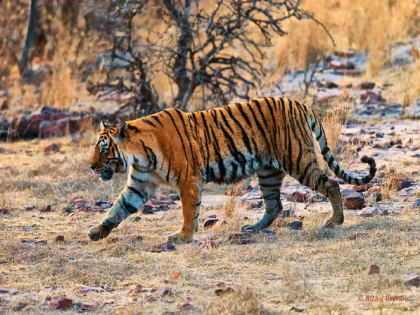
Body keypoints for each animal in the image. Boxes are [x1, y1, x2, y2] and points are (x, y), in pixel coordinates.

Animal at [88, 97, 378, 243]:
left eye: (103, 149)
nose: (91, 167)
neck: (140, 154)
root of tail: (301, 103)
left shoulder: (188, 179)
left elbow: (189, 211)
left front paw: (182, 236)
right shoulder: (140, 183)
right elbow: (119, 208)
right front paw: (97, 231)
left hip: (298, 159)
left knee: (331, 183)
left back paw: (335, 221)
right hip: (268, 171)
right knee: (274, 205)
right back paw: (253, 228)